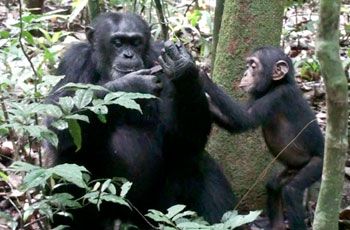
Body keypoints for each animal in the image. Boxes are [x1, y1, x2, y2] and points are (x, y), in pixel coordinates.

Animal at [45, 12, 234, 228]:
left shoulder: (159, 57)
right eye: (118, 42)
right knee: (68, 159)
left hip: (157, 210)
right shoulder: (72, 62)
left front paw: (182, 67)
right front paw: (130, 86)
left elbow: (184, 140)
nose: (128, 55)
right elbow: (57, 121)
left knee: (194, 159)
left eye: (136, 42)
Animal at [202, 45, 326, 229]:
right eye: (248, 65)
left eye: (253, 66)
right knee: (273, 185)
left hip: (318, 164)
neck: (274, 85)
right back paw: (276, 224)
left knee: (292, 192)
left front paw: (196, 72)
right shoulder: (255, 94)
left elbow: (245, 118)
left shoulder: (279, 95)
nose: (245, 73)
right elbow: (236, 122)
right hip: (293, 169)